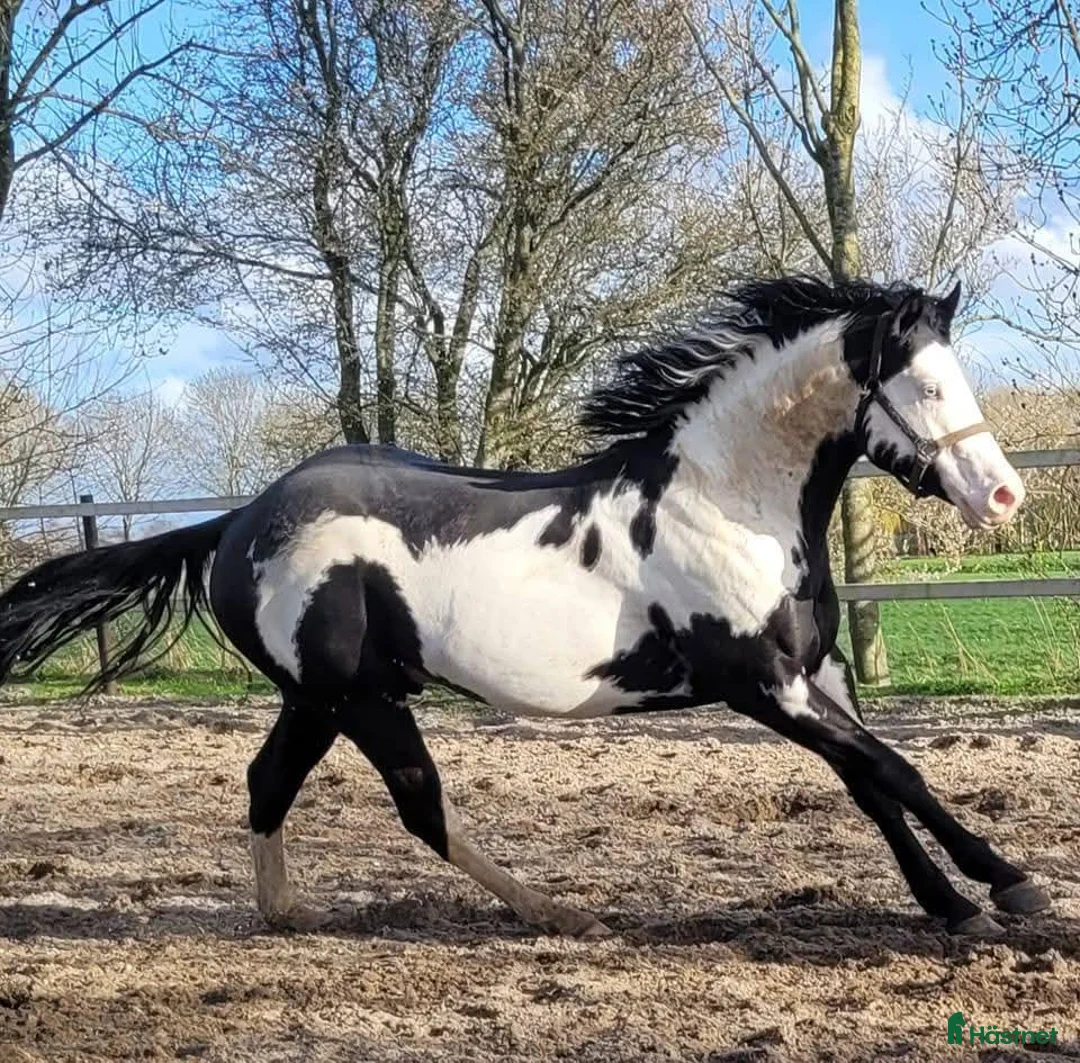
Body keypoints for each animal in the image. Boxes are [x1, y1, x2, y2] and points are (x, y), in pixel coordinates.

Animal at [0, 275, 1050, 938]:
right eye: (925, 384)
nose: (1004, 498)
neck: (727, 504)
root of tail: (240, 520)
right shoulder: (760, 684)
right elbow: (896, 769)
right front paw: (1011, 885)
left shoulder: (815, 672)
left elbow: (873, 782)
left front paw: (952, 902)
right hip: (356, 698)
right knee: (417, 802)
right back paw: (558, 913)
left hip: (318, 699)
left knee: (268, 782)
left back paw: (287, 912)